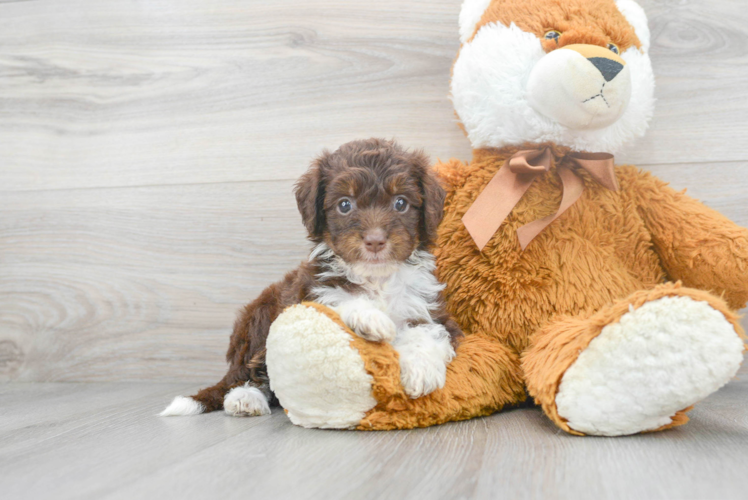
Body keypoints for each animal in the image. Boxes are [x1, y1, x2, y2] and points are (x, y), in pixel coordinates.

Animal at [161, 139, 458, 416]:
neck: (376, 278)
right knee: (252, 369)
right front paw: (370, 318)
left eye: (401, 203)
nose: (375, 241)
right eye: (345, 205)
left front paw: (420, 370)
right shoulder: (308, 292)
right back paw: (245, 397)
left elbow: (427, 331)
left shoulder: (431, 309)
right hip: (259, 317)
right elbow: (339, 299)